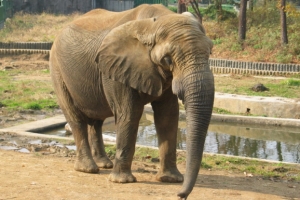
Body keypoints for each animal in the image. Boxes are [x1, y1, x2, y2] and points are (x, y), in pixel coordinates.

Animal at [48, 3, 213, 199]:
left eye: (210, 52)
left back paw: (105, 164)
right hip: (57, 69)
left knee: (96, 122)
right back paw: (88, 169)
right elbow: (129, 114)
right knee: (76, 118)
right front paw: (122, 181)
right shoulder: (116, 68)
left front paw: (170, 179)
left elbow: (168, 116)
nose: (181, 195)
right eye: (167, 59)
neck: (153, 24)